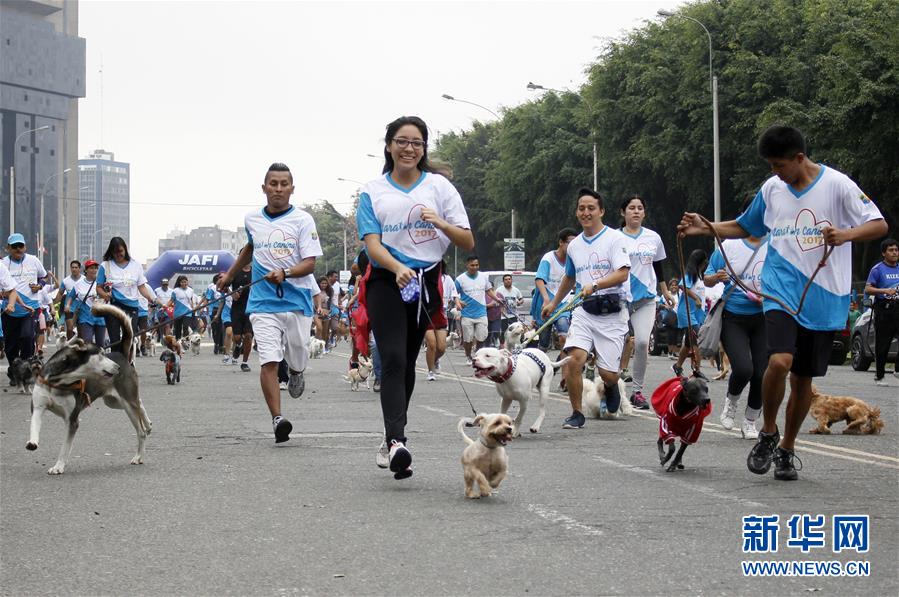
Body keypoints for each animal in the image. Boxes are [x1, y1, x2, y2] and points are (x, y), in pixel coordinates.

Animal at [24, 302, 152, 474]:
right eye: (101, 354)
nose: (117, 368)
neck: (59, 381)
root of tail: (122, 355)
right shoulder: (38, 407)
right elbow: (34, 425)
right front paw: (32, 442)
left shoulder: (72, 420)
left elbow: (65, 448)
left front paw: (58, 466)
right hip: (113, 402)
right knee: (139, 402)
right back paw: (148, 422)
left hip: (127, 402)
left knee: (140, 429)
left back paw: (139, 454)